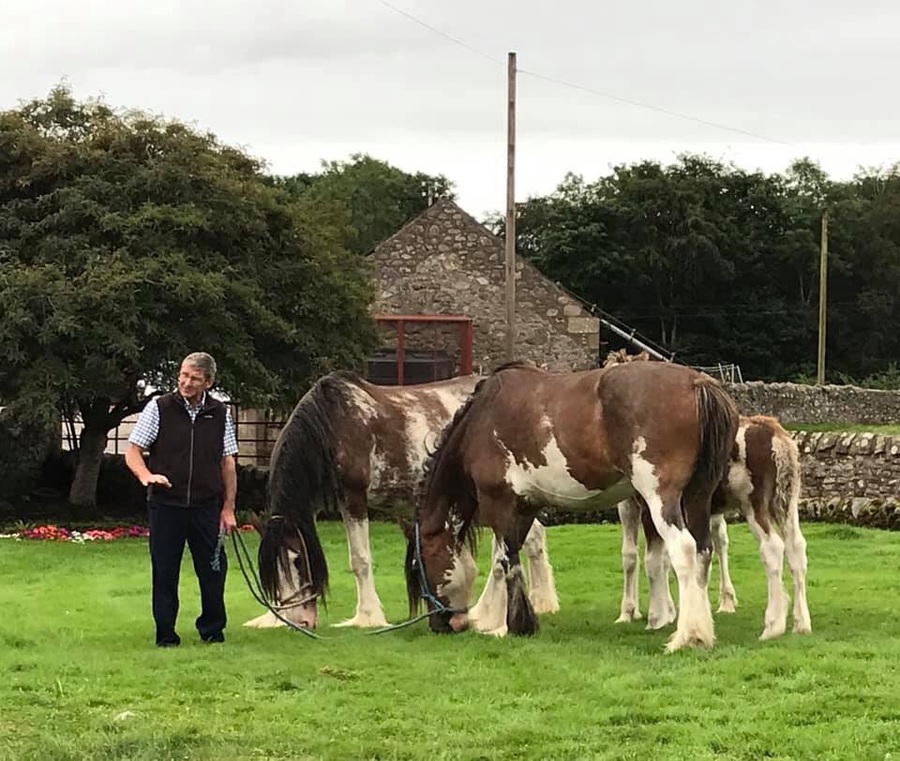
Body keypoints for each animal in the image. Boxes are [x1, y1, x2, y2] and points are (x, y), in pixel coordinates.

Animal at [246, 370, 556, 628]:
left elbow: (360, 560)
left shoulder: (353, 498)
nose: (300, 621)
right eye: (273, 571)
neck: (331, 428)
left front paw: (367, 617)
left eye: (298, 562)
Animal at [408, 360, 740, 652]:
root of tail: (697, 383)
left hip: (660, 498)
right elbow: (507, 560)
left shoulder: (498, 501)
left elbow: (504, 562)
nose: (440, 625)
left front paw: (507, 625)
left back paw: (688, 637)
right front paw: (496, 618)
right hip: (697, 498)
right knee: (704, 550)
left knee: (684, 550)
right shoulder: (525, 506)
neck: (481, 420)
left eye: (418, 566)